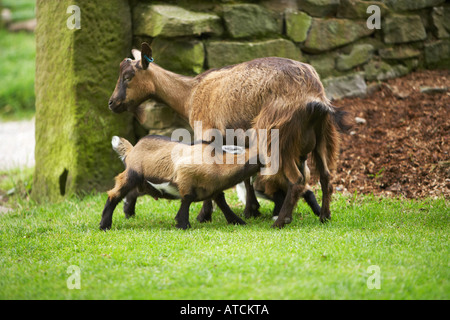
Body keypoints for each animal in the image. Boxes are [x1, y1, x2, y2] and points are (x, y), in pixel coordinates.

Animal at [110, 42, 348, 228]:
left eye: (128, 76)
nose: (112, 103)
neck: (190, 94)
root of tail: (313, 97)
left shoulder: (207, 134)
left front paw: (204, 215)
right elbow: (246, 177)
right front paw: (251, 210)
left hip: (277, 138)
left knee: (297, 180)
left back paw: (281, 221)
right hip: (322, 137)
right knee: (326, 176)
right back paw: (324, 216)